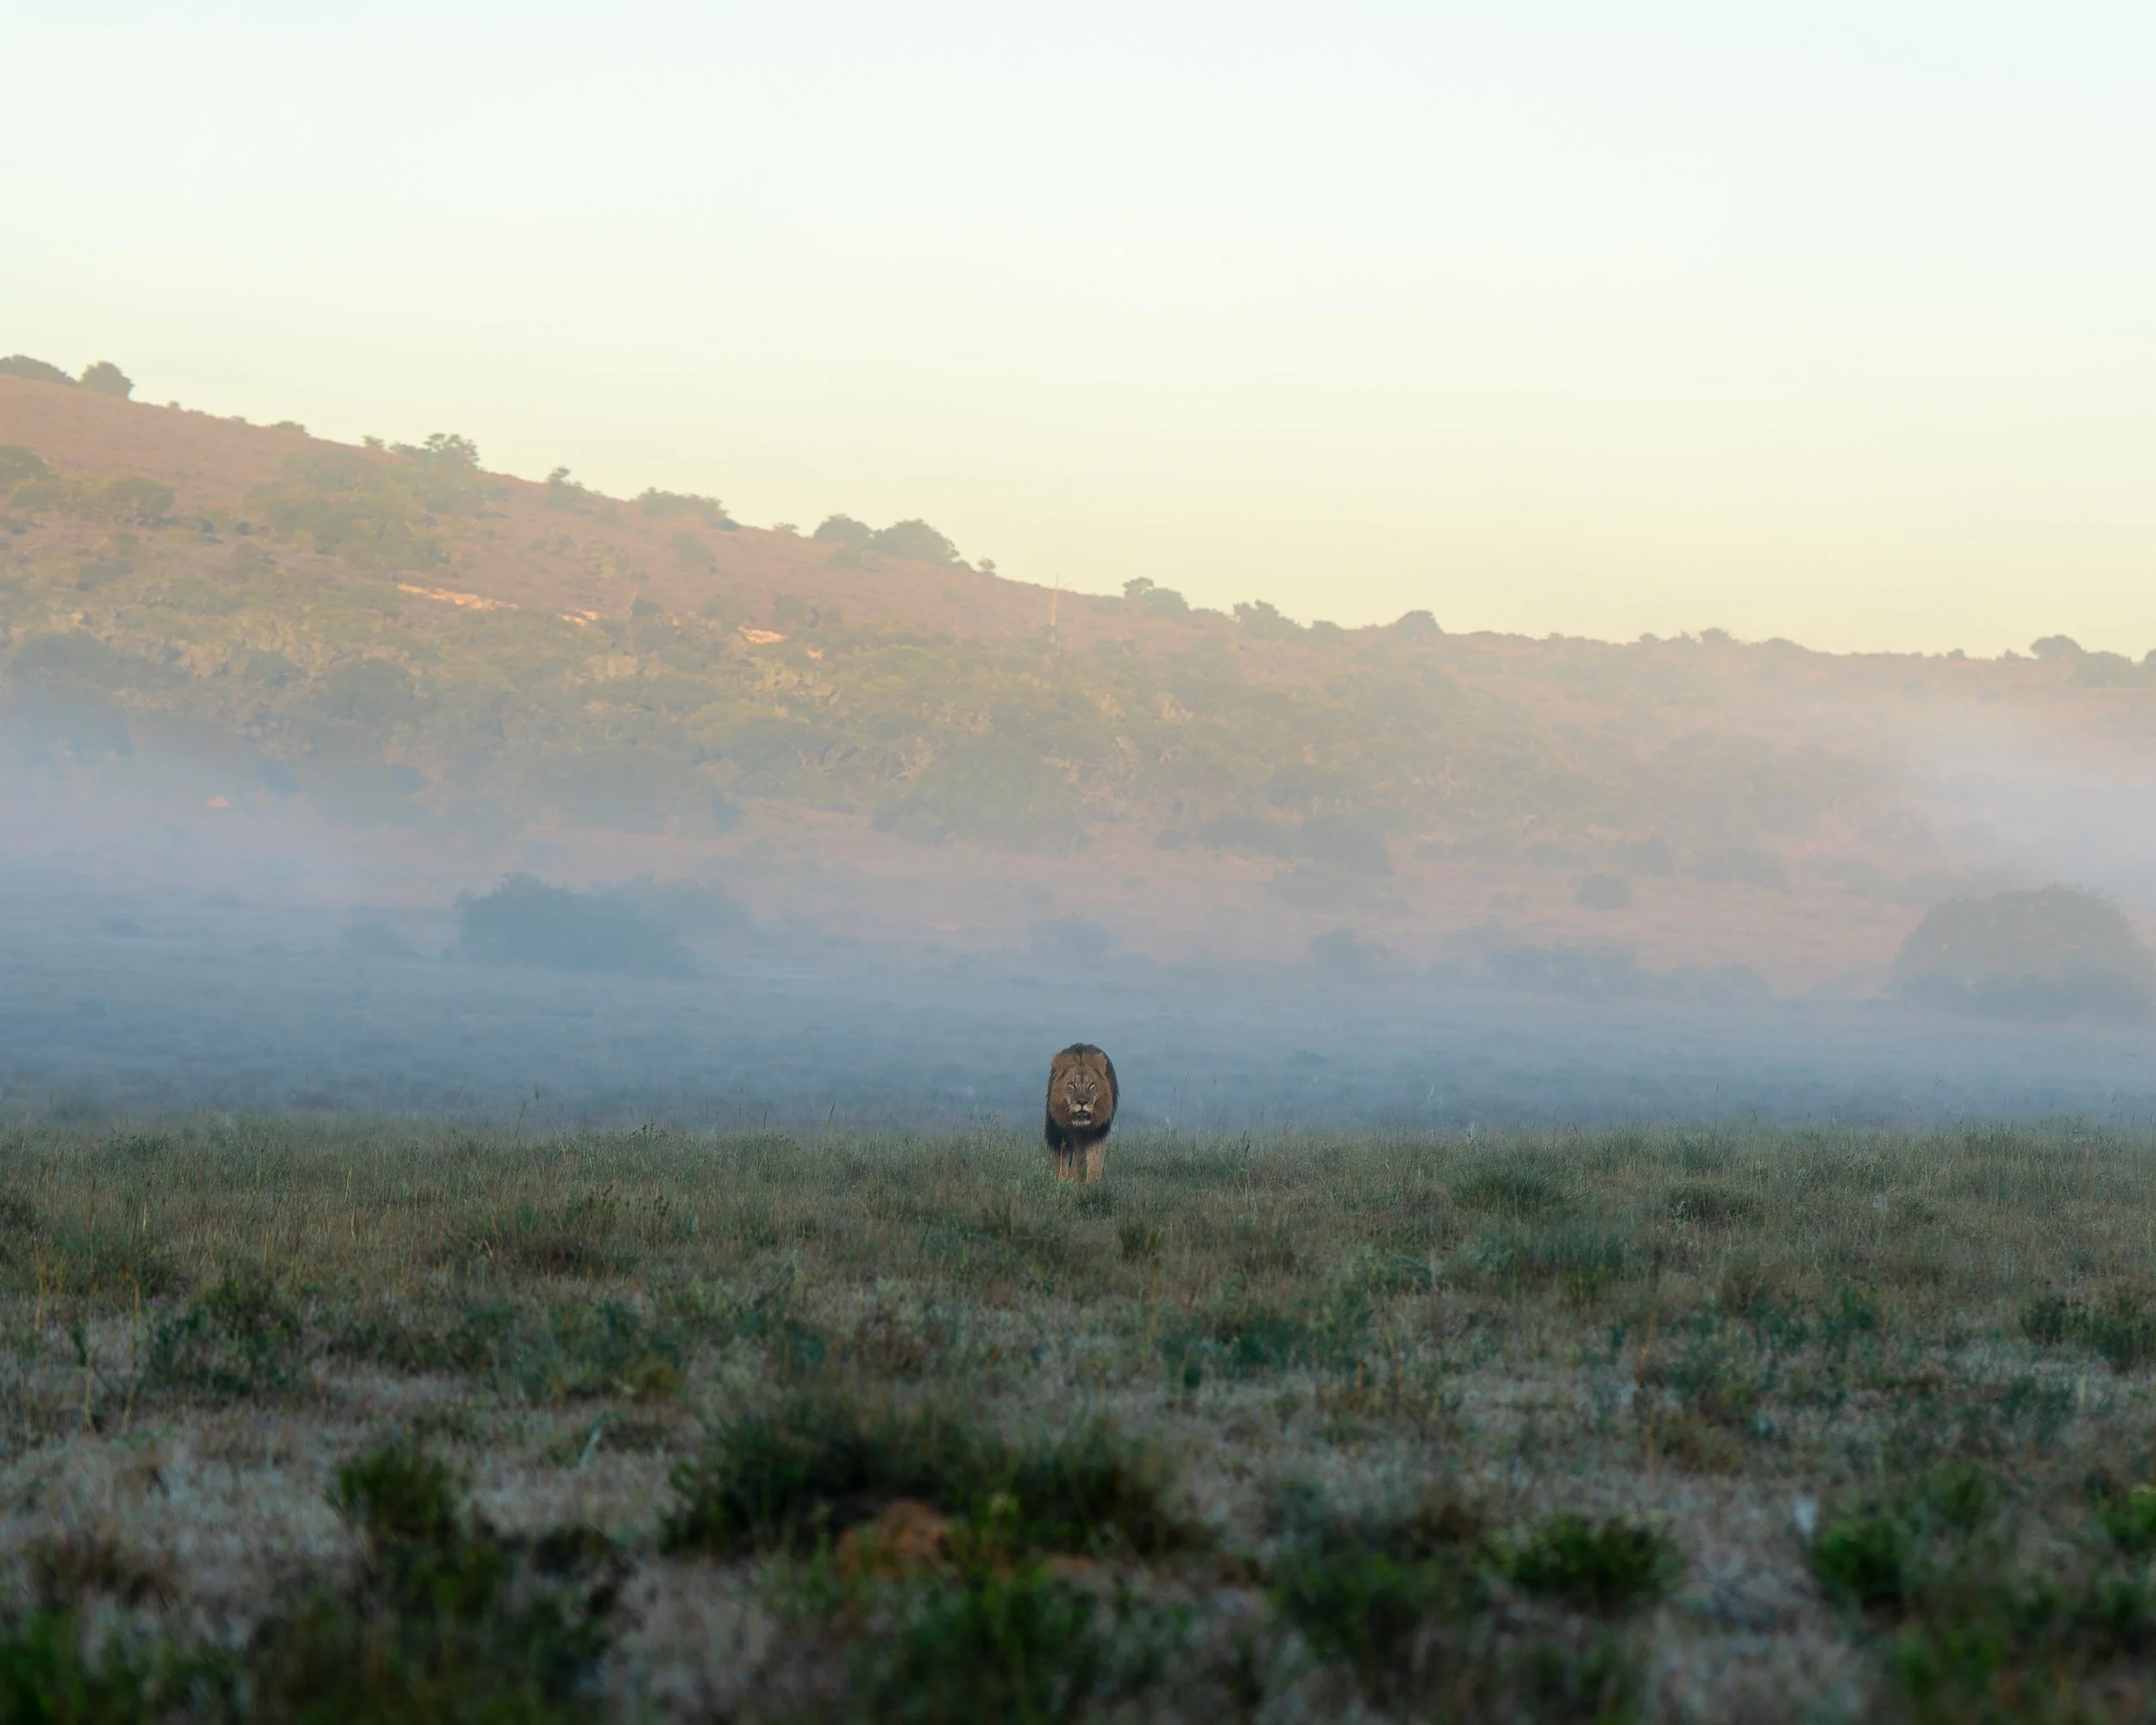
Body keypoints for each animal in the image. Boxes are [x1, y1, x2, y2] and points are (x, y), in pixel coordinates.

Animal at [1044, 1043, 1118, 1182]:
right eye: (1072, 1084)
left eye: (1092, 1085)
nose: (1082, 1102)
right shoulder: (1058, 1135)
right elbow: (1061, 1162)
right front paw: (1062, 1180)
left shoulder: (1096, 1133)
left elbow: (1094, 1160)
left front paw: (1090, 1183)